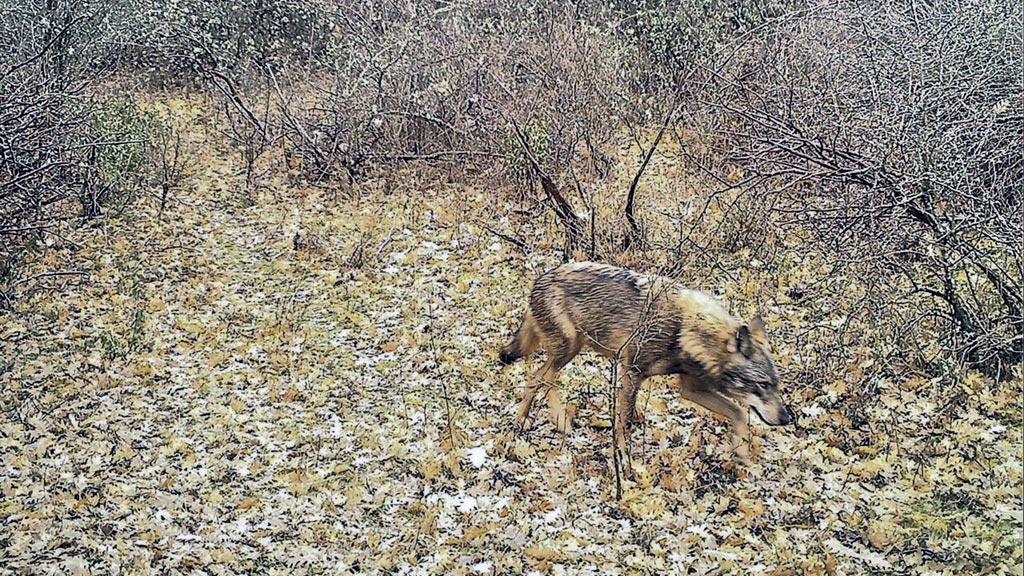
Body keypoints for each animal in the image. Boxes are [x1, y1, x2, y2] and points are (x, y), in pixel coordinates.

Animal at [500, 262, 793, 468]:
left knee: (537, 377)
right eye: (762, 385)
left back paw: (535, 422)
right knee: (539, 377)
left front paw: (743, 455)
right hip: (568, 350)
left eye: (776, 385)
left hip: (571, 350)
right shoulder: (632, 373)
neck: (686, 331)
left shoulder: (690, 389)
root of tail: (540, 278)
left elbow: (739, 413)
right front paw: (623, 461)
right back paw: (550, 421)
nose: (787, 419)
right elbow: (624, 423)